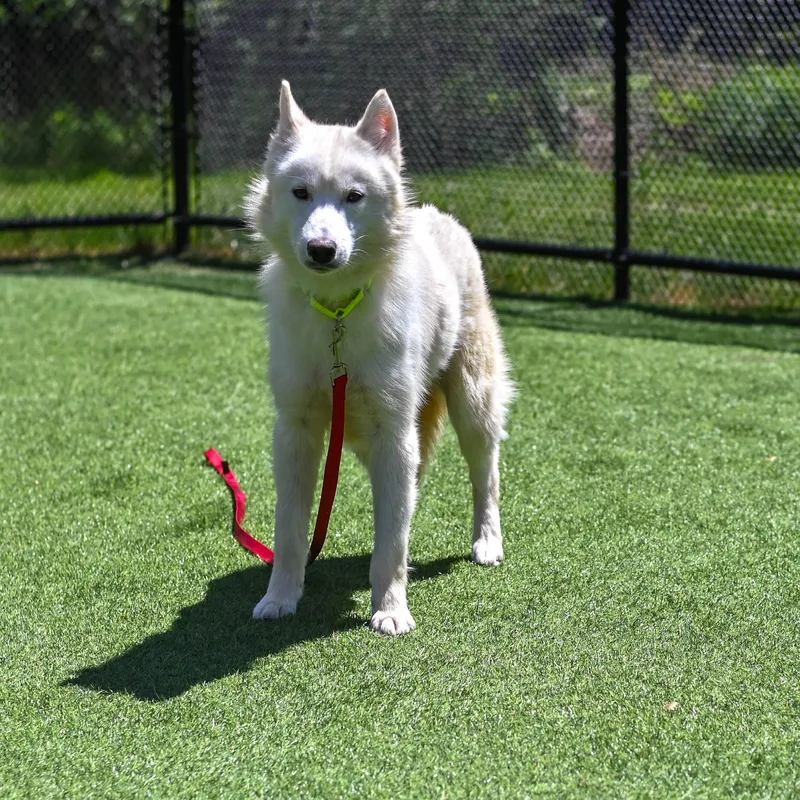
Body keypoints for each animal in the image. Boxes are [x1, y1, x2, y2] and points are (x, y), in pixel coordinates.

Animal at [244, 81, 513, 635]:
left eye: (354, 196)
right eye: (301, 193)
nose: (321, 249)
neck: (338, 314)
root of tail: (437, 215)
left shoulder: (394, 433)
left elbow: (390, 541)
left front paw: (390, 608)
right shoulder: (296, 433)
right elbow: (289, 531)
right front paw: (280, 597)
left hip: (471, 406)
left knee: (486, 474)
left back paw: (487, 541)